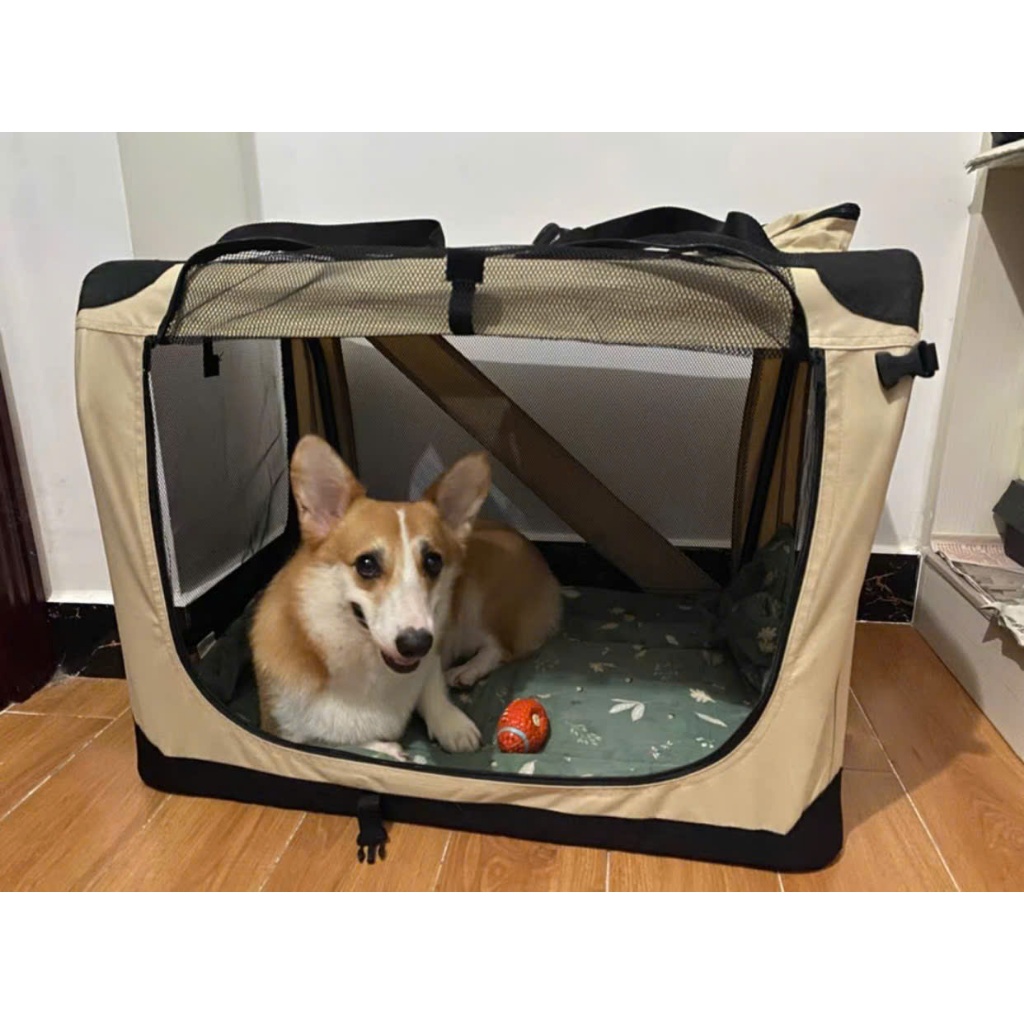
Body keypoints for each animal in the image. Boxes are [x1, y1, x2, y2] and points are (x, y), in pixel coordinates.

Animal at [250, 434, 561, 760]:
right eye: (366, 564)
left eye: (433, 561)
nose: (416, 644)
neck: (365, 662)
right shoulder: (281, 731)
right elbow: (328, 742)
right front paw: (390, 749)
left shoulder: (436, 645)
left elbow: (432, 686)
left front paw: (453, 725)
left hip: (473, 603)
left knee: (500, 647)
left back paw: (467, 670)